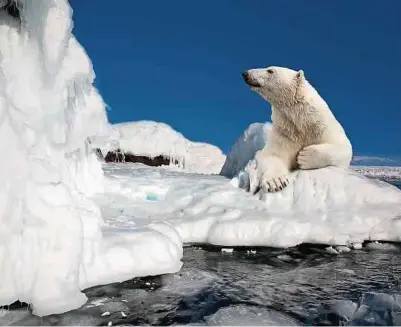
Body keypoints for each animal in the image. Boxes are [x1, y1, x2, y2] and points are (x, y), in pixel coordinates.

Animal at [241, 67, 350, 195]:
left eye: (270, 70)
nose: (245, 74)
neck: (302, 123)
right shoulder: (285, 133)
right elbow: (273, 155)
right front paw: (276, 182)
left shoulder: (323, 128)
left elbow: (344, 148)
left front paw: (304, 156)